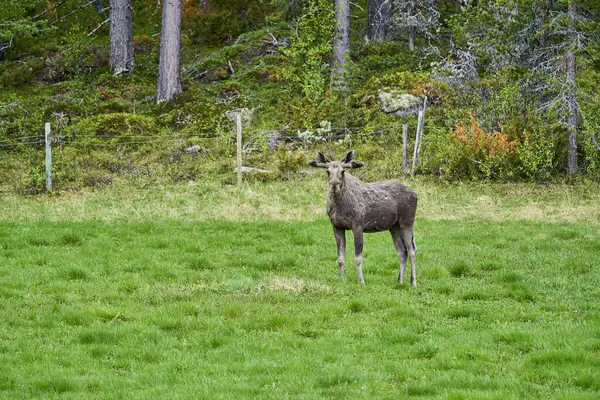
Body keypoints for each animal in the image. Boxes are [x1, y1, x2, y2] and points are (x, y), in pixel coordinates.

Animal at [308, 150, 420, 284]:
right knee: (402, 251)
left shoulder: (358, 226)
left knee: (412, 250)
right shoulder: (337, 227)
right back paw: (400, 281)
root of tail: (415, 194)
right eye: (327, 171)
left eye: (343, 171)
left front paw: (361, 281)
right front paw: (342, 279)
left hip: (407, 222)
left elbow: (358, 258)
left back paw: (413, 282)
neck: (340, 205)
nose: (334, 185)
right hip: (394, 227)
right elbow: (340, 258)